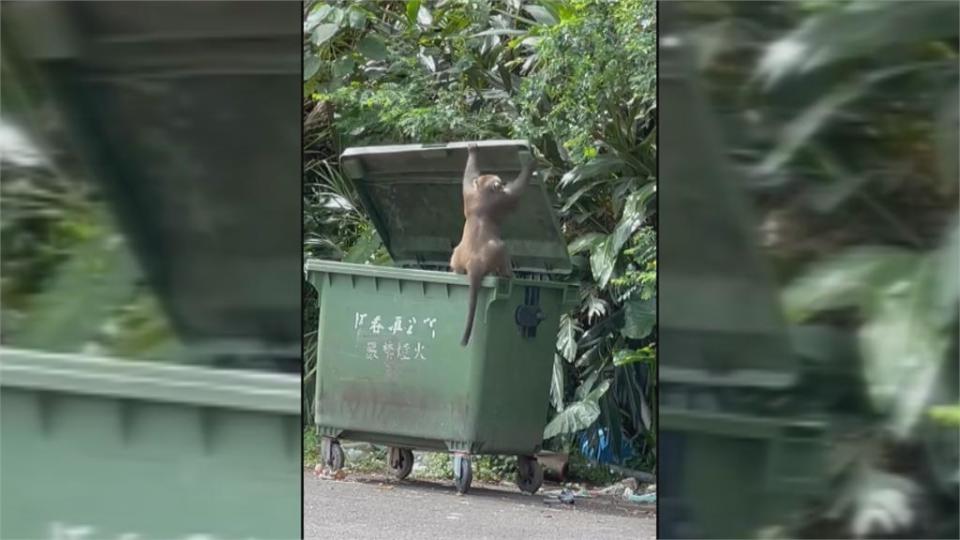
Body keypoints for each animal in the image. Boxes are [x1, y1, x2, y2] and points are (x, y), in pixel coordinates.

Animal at [450, 142, 532, 346]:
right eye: (499, 182)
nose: (502, 183)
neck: (482, 194)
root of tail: (474, 262)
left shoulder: (469, 192)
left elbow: (467, 177)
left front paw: (472, 151)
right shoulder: (503, 198)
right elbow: (517, 191)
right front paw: (530, 164)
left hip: (458, 252)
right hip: (498, 250)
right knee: (503, 250)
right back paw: (507, 274)